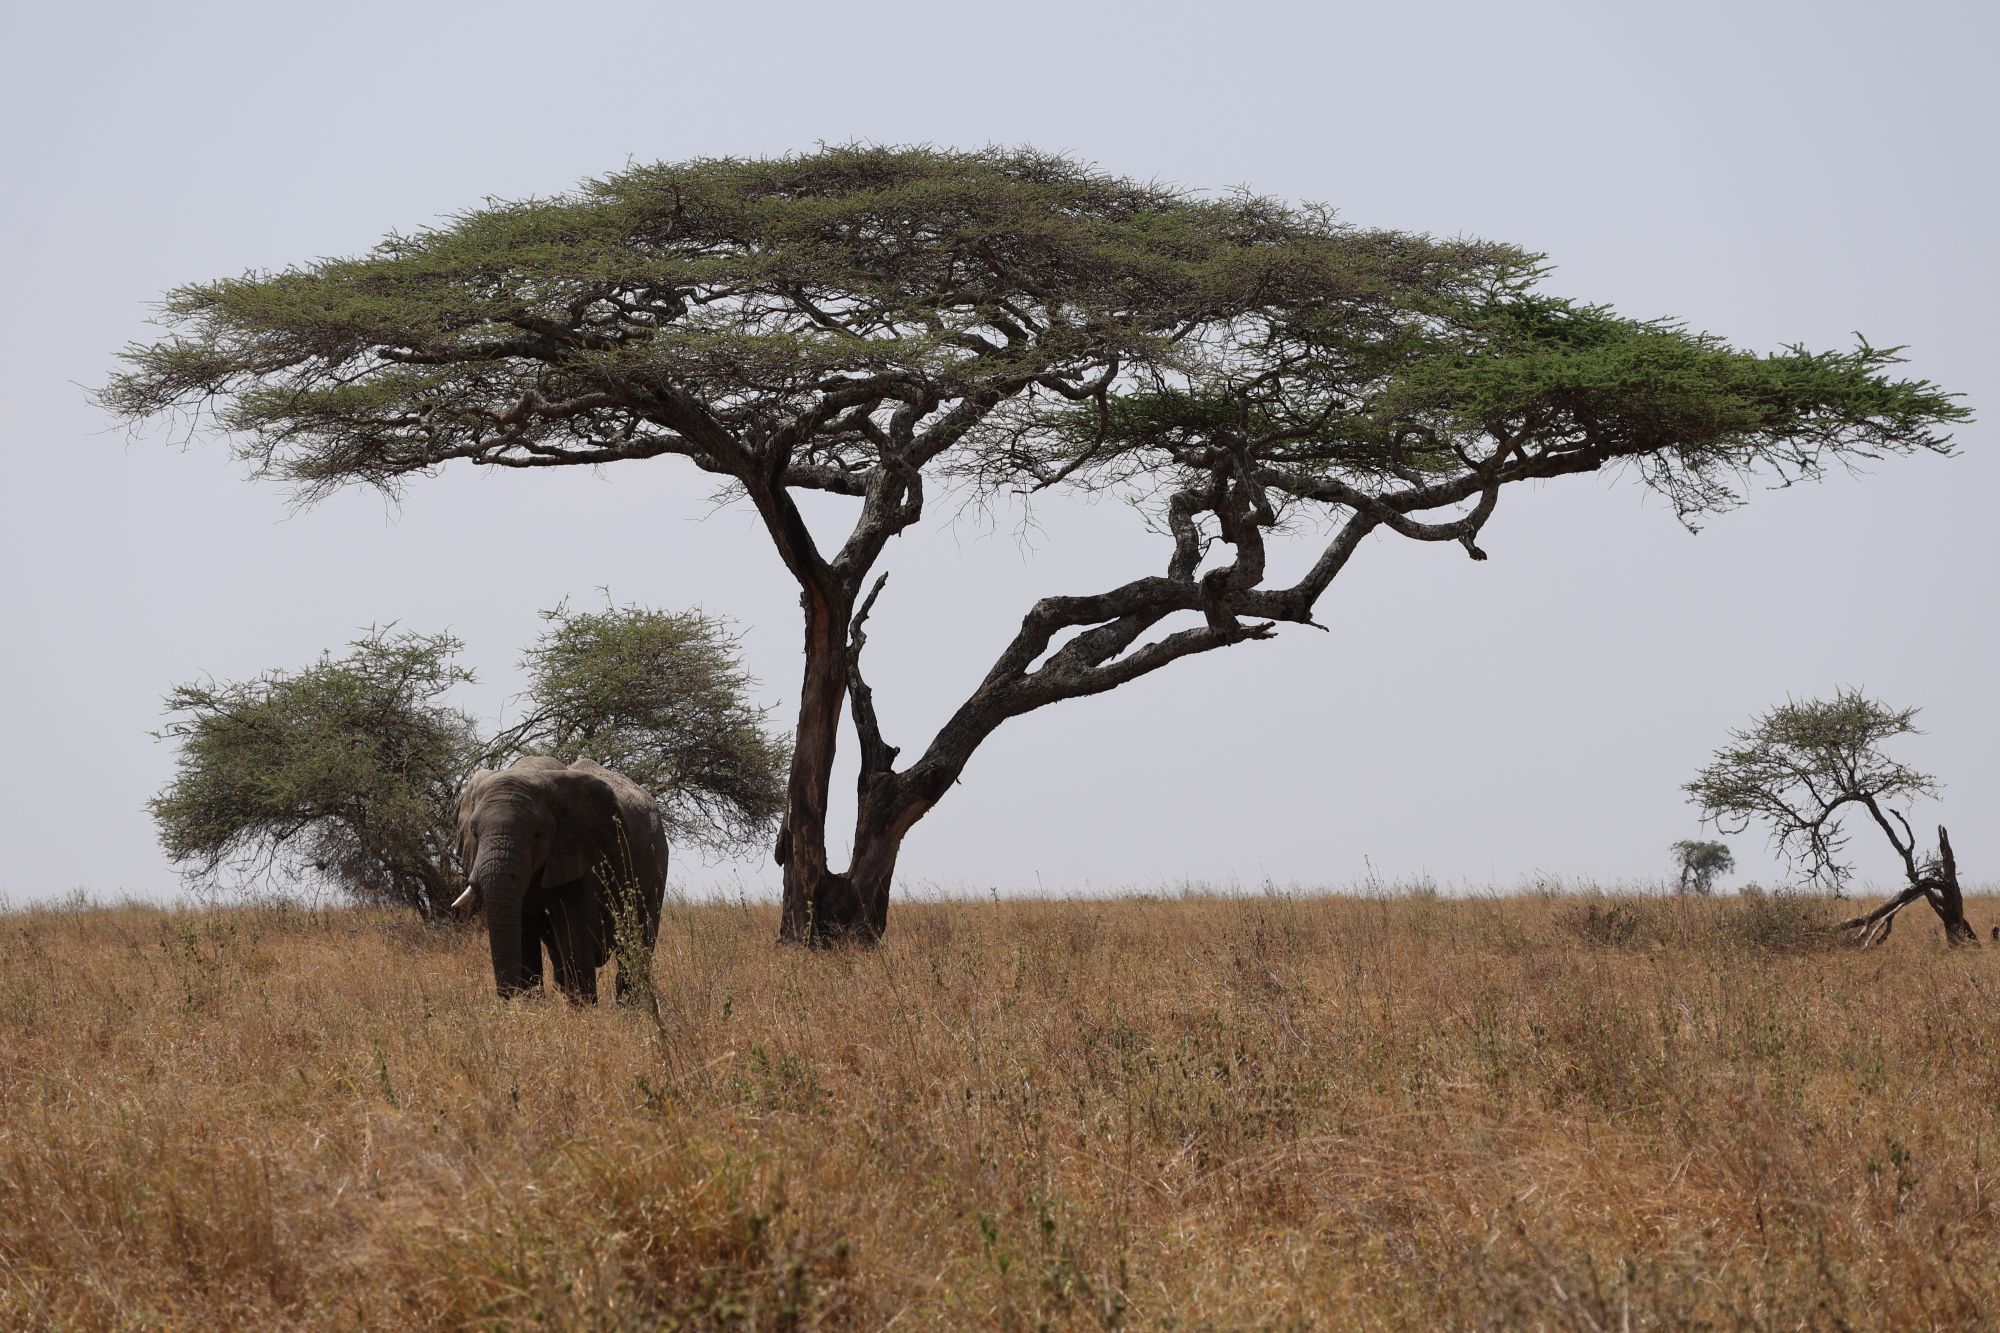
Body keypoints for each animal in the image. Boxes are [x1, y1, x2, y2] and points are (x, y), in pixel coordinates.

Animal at [453, 755, 669, 1002]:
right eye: (474, 832)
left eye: (538, 833)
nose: (508, 999)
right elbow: (523, 931)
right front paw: (531, 1005)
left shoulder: (580, 852)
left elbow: (573, 930)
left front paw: (584, 1008)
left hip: (657, 867)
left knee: (637, 941)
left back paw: (630, 1006)